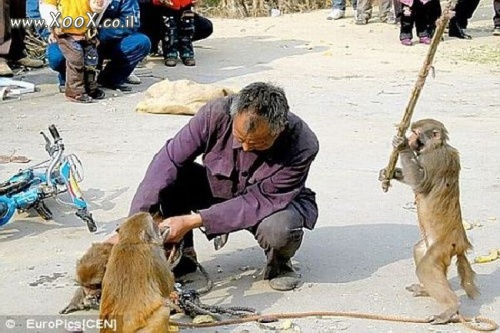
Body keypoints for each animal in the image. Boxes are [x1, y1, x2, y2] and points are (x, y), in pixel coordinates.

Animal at [378, 118, 480, 322]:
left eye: (416, 133)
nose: (409, 139)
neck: (436, 146)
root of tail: (461, 243)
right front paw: (388, 173)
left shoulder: (433, 159)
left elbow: (419, 182)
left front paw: (401, 145)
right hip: (434, 245)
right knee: (420, 251)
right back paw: (427, 291)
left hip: (444, 246)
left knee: (425, 268)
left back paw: (451, 307)